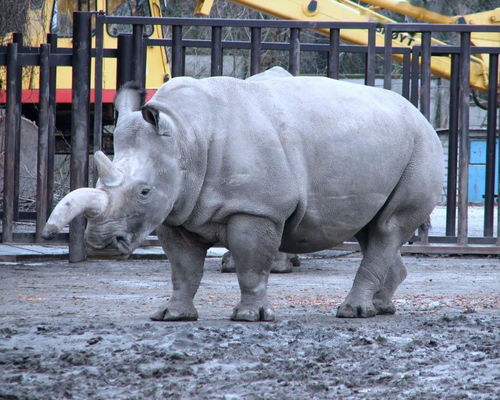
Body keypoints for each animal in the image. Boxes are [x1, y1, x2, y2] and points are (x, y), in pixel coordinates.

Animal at [42, 67, 442, 320]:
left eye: (144, 191)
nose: (101, 243)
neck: (185, 138)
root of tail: (421, 113)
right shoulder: (176, 212)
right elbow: (183, 269)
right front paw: (172, 316)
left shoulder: (257, 209)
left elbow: (252, 264)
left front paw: (250, 317)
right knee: (371, 230)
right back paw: (381, 308)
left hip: (421, 146)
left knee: (388, 228)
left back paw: (353, 313)